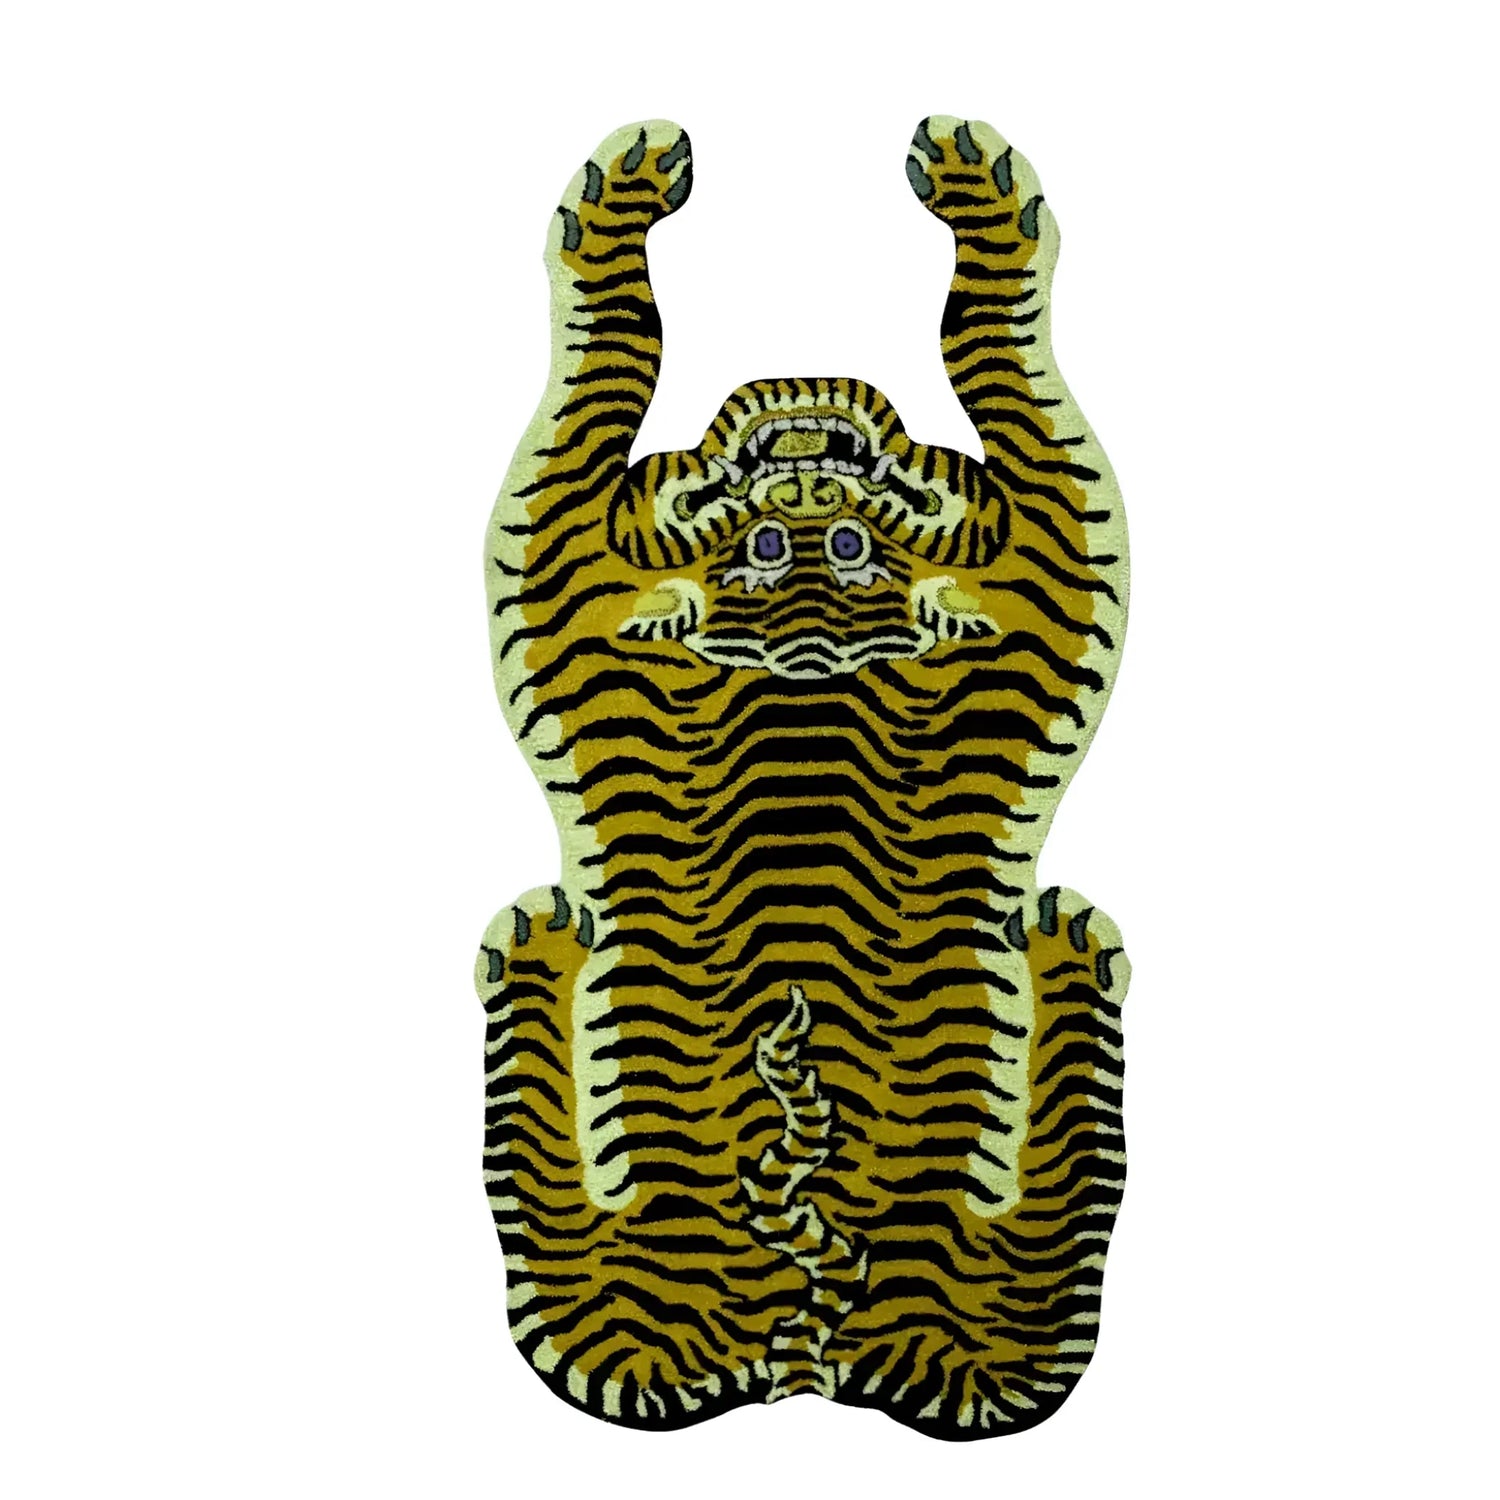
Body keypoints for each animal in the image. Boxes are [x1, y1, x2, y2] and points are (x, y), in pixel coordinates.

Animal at [477, 114, 1130, 1441]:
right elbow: (598, 378)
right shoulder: (559, 565)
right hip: (617, 1252)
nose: (810, 421)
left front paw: (977, 191)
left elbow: (1009, 376)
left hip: (992, 1259)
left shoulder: (1056, 559)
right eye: (763, 529)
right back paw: (538, 947)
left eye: (853, 524)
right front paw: (626, 192)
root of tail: (805, 1352)